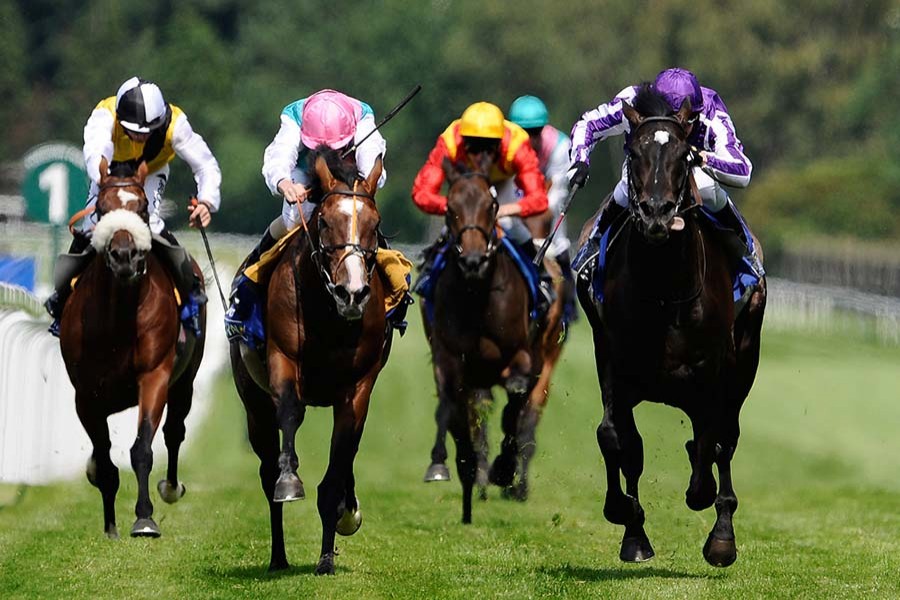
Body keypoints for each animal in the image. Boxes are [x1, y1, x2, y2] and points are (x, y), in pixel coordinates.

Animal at [59, 158, 206, 540]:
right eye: (101, 208)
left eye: (141, 208)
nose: (124, 256)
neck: (118, 317)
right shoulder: (86, 394)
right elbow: (104, 461)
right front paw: (110, 526)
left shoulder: (154, 376)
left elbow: (142, 448)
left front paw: (144, 518)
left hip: (185, 380)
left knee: (174, 431)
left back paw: (170, 487)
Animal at [424, 157, 540, 524]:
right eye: (450, 207)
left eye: (492, 205)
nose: (473, 261)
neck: (478, 297)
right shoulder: (449, 359)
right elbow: (453, 408)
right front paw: (450, 465)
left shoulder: (521, 355)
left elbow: (515, 401)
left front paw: (504, 469)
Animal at [576, 85, 768, 568]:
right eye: (634, 152)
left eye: (685, 155)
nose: (658, 214)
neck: (664, 290)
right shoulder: (614, 363)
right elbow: (616, 438)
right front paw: (627, 521)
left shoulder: (713, 372)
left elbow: (710, 448)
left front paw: (713, 521)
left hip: (745, 361)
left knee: (725, 438)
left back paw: (722, 535)